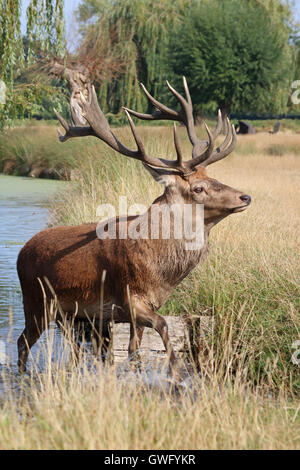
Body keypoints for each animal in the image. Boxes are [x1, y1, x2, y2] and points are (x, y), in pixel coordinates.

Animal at [16, 78, 251, 378]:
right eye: (198, 188)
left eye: (213, 177)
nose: (245, 197)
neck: (162, 272)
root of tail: (22, 251)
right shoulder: (131, 297)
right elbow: (162, 326)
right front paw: (175, 373)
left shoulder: (144, 306)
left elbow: (132, 349)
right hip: (36, 301)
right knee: (23, 341)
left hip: (65, 313)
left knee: (72, 348)